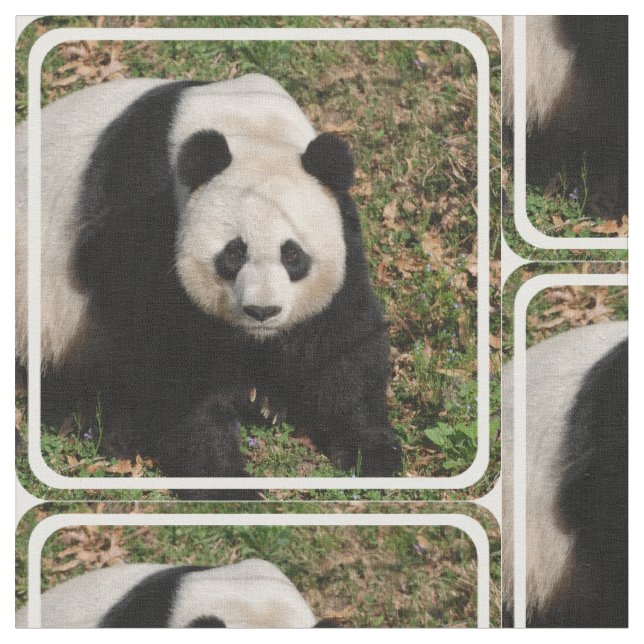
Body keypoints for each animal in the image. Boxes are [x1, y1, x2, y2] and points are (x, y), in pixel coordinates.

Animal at [15, 75, 402, 496]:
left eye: (293, 256)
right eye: (234, 254)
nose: (262, 311)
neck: (250, 126)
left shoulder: (340, 220)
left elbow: (342, 336)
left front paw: (374, 453)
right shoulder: (138, 207)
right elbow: (164, 353)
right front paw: (225, 479)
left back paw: (265, 402)